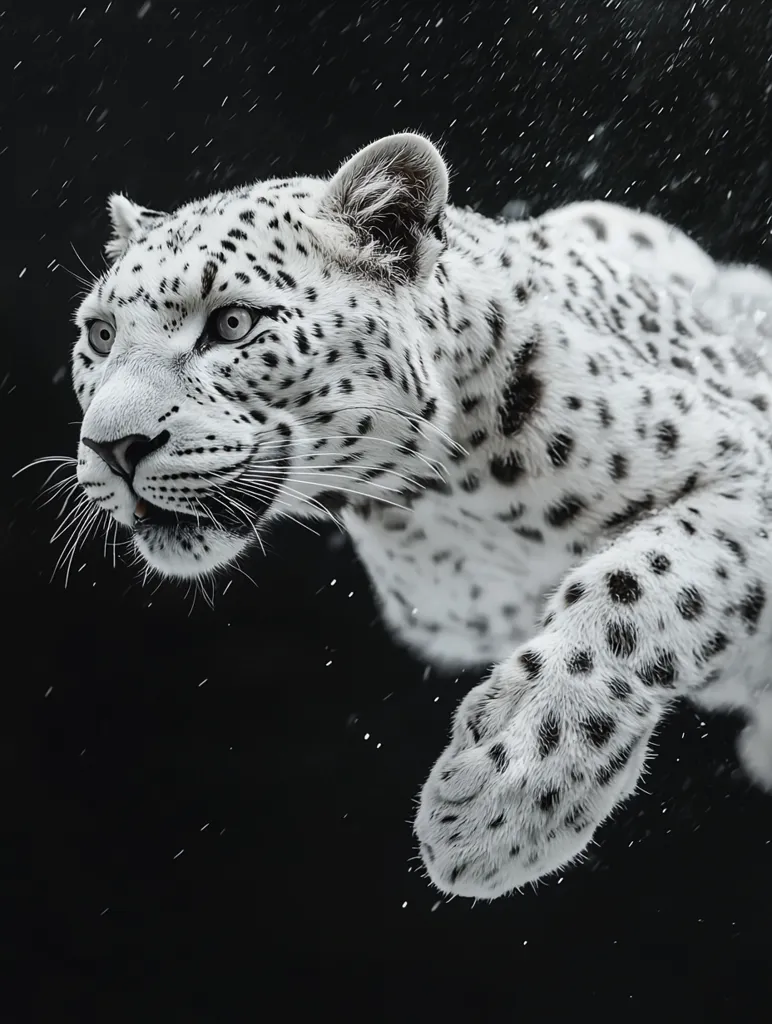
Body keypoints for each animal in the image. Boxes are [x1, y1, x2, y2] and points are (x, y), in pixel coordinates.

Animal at [68, 132, 772, 900]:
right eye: (100, 335)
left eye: (232, 323)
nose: (111, 447)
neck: (451, 495)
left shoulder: (748, 463)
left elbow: (638, 583)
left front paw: (502, 804)